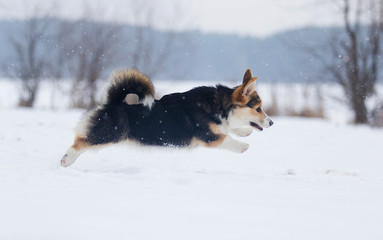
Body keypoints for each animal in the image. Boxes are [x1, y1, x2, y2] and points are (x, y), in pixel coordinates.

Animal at [60, 69, 272, 167]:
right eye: (259, 109)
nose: (271, 122)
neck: (221, 106)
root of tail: (113, 103)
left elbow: (231, 128)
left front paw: (244, 131)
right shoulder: (209, 136)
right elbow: (226, 138)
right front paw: (243, 146)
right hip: (110, 134)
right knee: (79, 142)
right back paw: (65, 159)